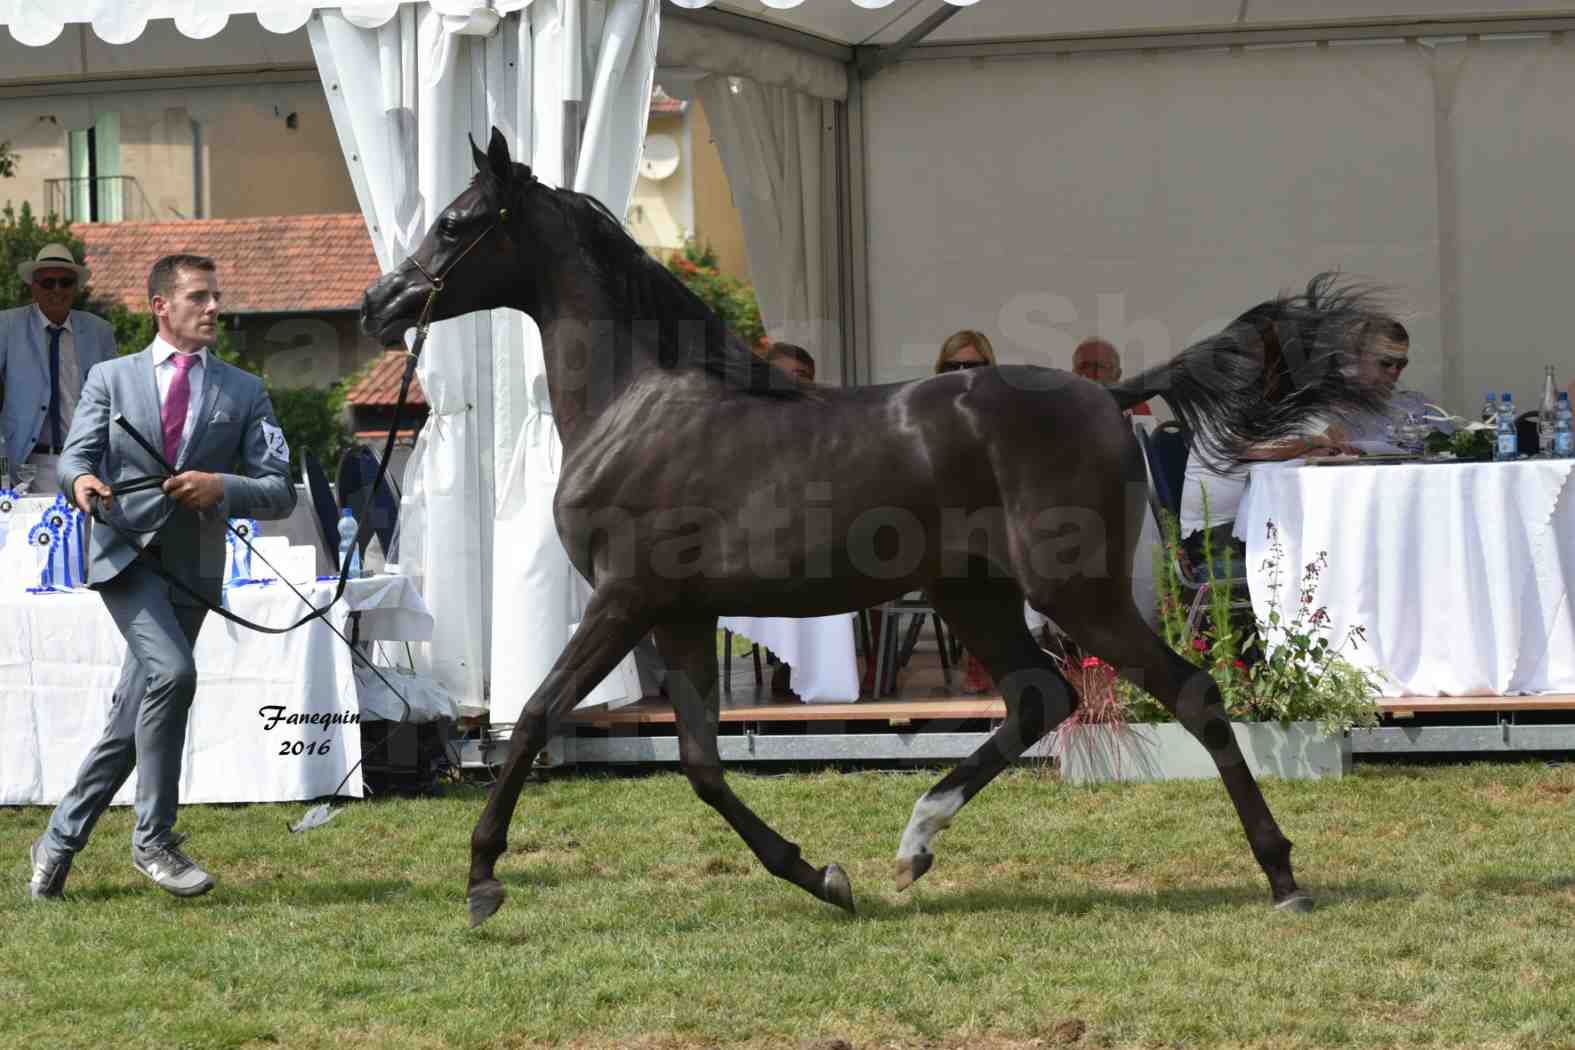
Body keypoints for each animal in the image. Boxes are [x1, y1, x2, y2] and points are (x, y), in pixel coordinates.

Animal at [360, 127, 1392, 925]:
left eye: (456, 223)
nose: (379, 303)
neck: (635, 404)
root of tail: (1109, 395)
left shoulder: (623, 599)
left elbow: (535, 715)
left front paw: (481, 880)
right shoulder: (681, 611)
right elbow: (699, 762)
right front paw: (822, 875)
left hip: (1073, 591)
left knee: (1190, 692)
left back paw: (1282, 877)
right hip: (972, 592)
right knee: (1037, 698)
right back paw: (913, 844)